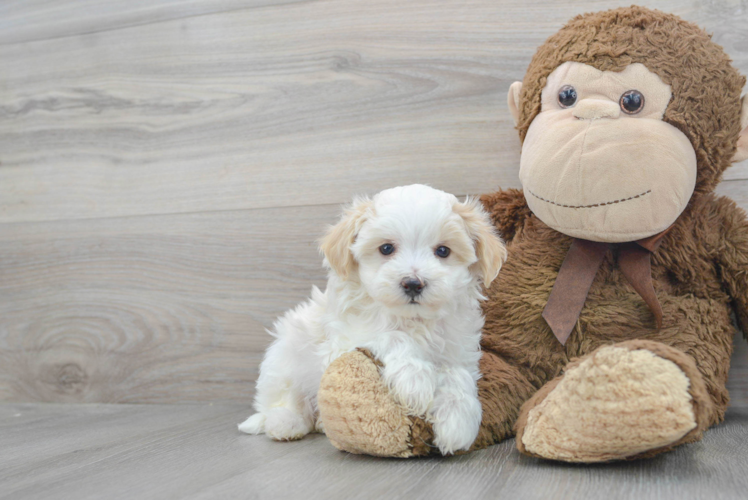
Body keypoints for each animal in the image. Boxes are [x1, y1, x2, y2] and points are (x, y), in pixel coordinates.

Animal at [240, 184, 508, 454]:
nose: (413, 283)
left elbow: (458, 375)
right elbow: (392, 336)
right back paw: (285, 423)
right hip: (284, 357)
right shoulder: (343, 339)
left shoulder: (458, 349)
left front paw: (458, 421)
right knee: (282, 399)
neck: (414, 320)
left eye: (443, 251)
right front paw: (416, 382)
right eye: (386, 248)